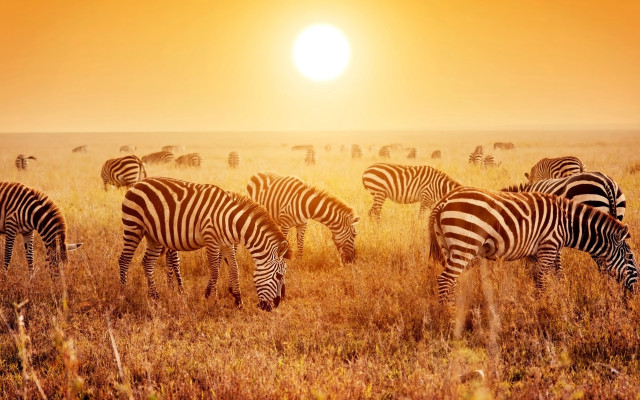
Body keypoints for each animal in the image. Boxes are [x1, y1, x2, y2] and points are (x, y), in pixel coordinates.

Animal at [118, 177, 289, 311]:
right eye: (279, 275)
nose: (274, 306)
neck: (230, 220)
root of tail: (138, 183)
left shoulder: (226, 243)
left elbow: (234, 269)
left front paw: (238, 301)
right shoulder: (211, 240)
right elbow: (215, 271)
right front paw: (214, 300)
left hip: (154, 236)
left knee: (147, 262)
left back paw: (154, 297)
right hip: (133, 226)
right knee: (124, 260)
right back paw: (124, 294)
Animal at [428, 187, 638, 303]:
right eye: (630, 258)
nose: (637, 291)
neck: (567, 224)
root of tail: (444, 200)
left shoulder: (537, 251)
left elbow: (547, 276)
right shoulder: (549, 245)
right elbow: (543, 280)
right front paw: (543, 308)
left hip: (449, 246)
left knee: (451, 281)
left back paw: (454, 309)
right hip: (465, 243)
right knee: (444, 280)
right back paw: (448, 315)